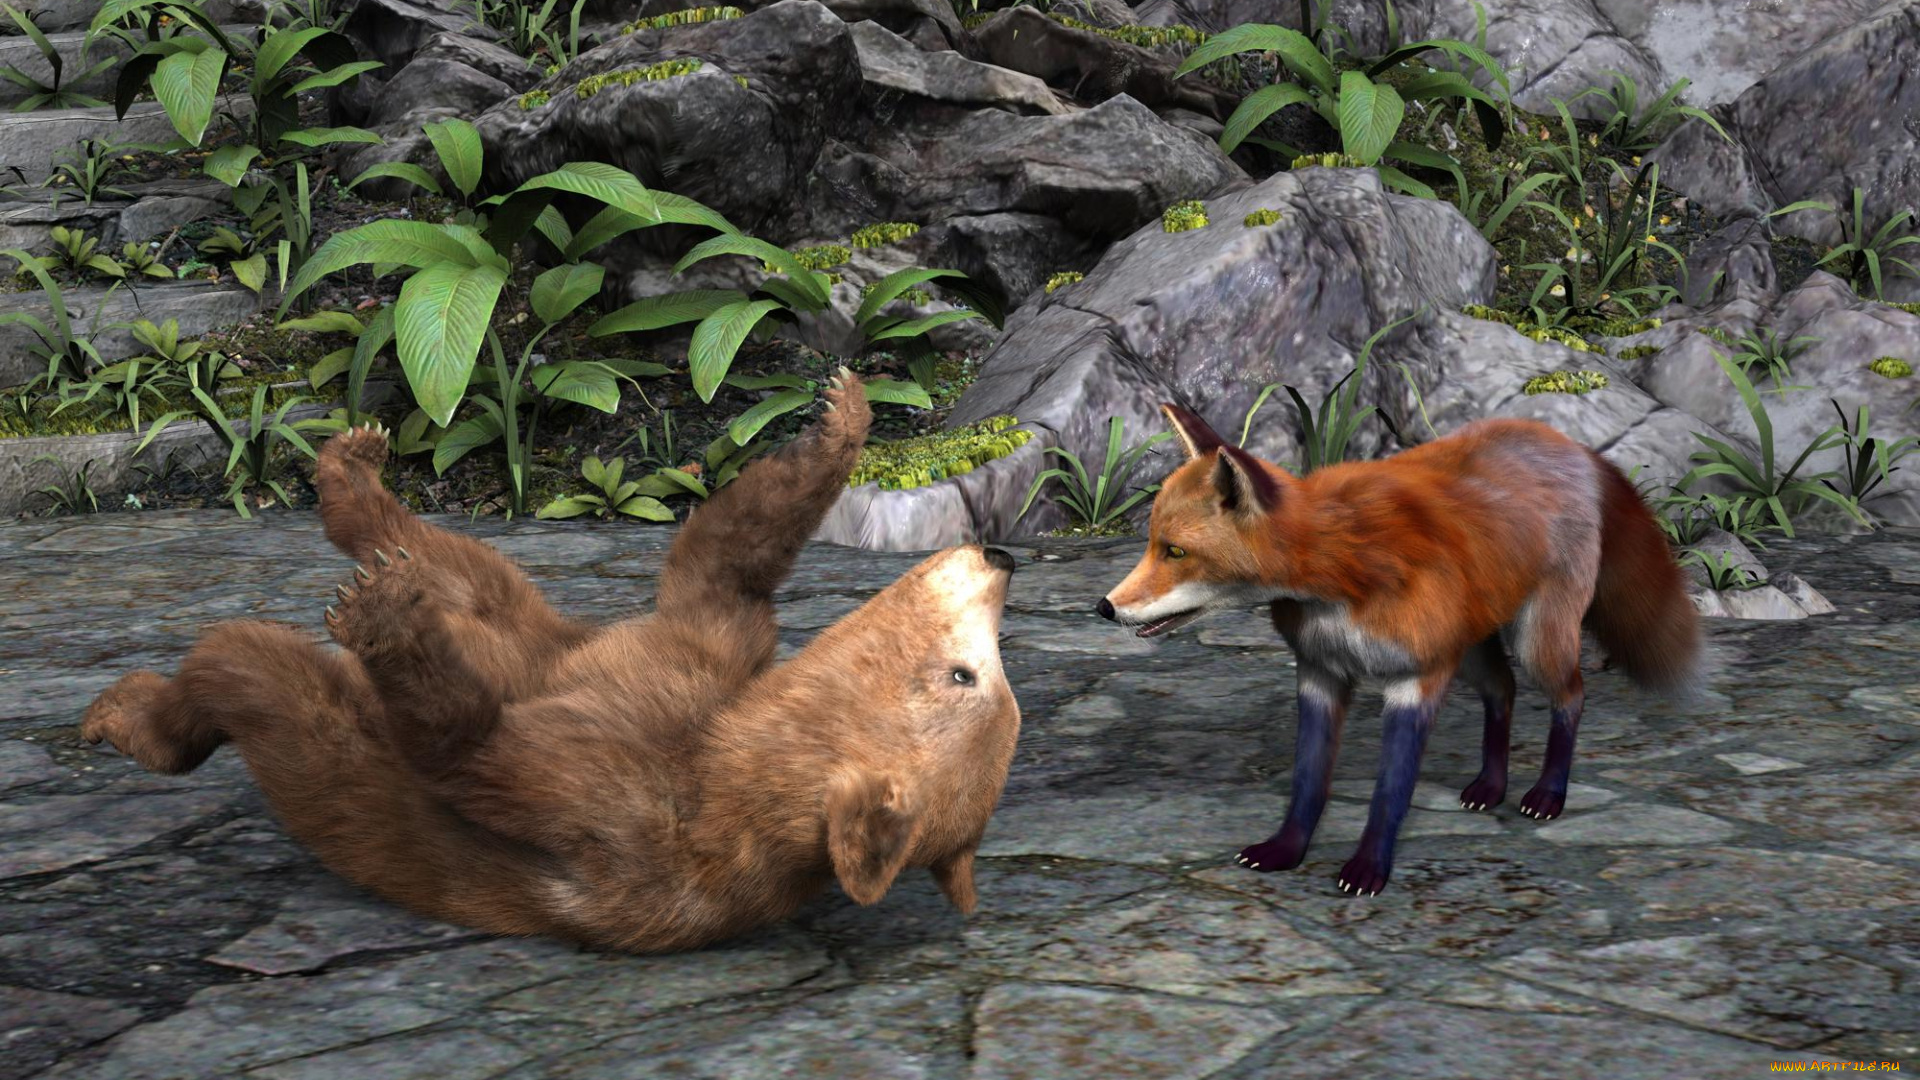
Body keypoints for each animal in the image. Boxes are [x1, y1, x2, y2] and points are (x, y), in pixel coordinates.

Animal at [78, 370, 1023, 952]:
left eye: (968, 675)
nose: (998, 558)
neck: (732, 743)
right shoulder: (696, 663)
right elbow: (719, 565)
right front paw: (841, 412)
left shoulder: (634, 811)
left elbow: (474, 754)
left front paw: (381, 621)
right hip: (530, 621)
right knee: (451, 559)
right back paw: (357, 461)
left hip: (321, 728)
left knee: (249, 663)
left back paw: (145, 711)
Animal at [1096, 403, 1703, 896]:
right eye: (1150, 544)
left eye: (1175, 551)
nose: (1103, 607)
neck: (1341, 575)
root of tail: (1573, 445)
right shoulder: (1320, 673)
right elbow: (1307, 783)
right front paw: (1287, 851)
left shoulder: (1417, 680)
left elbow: (1390, 792)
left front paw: (1369, 870)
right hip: (1473, 647)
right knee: (1502, 691)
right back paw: (1491, 785)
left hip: (1536, 642)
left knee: (1572, 697)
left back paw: (1548, 794)